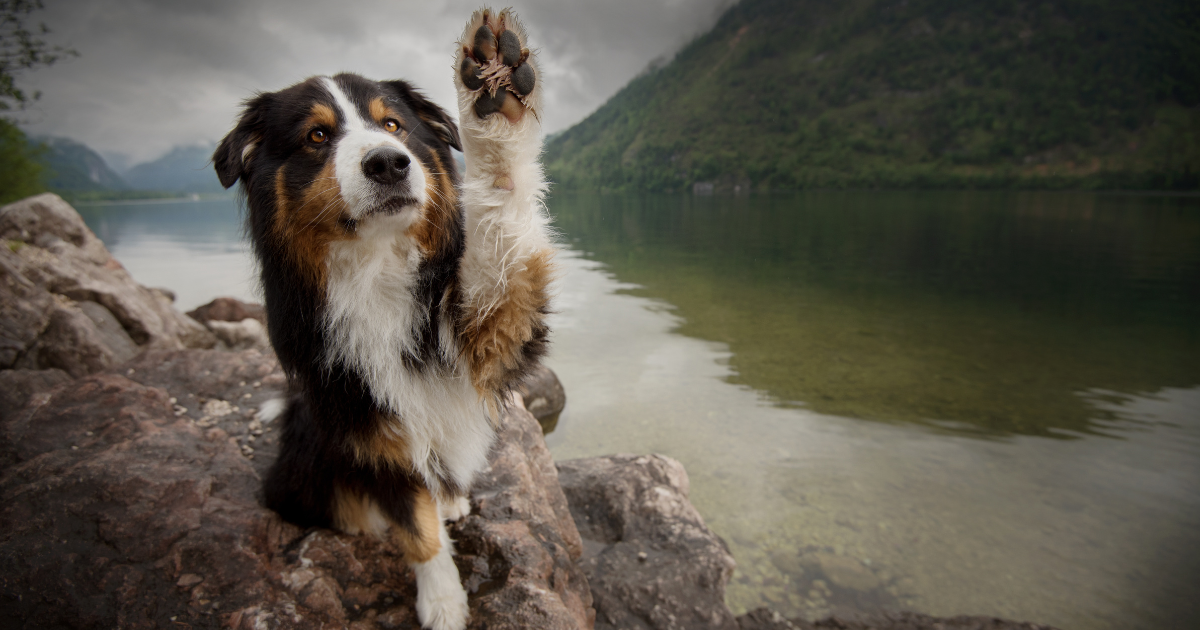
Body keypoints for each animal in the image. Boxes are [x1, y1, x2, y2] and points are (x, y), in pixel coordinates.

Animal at [212, 9, 552, 628]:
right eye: (317, 136)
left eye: (393, 125)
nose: (390, 162)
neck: (376, 262)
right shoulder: (368, 424)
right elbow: (415, 527)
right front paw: (443, 602)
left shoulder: (488, 324)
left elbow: (502, 219)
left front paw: (494, 96)